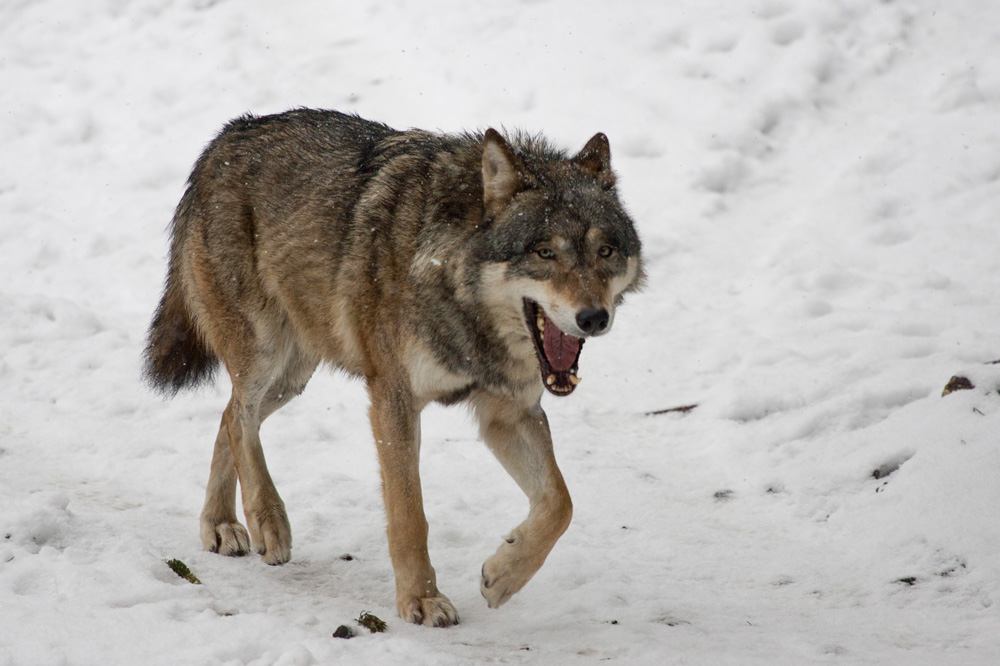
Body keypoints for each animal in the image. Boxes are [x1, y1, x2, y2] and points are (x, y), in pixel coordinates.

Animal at [144, 108, 643, 627]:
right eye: (545, 253)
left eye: (605, 252)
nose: (594, 318)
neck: (459, 295)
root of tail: (226, 136)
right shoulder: (393, 400)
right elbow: (409, 513)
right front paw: (421, 600)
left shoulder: (508, 415)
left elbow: (560, 503)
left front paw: (504, 575)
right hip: (266, 353)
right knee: (239, 417)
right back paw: (267, 521)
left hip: (293, 375)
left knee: (228, 415)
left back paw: (220, 524)